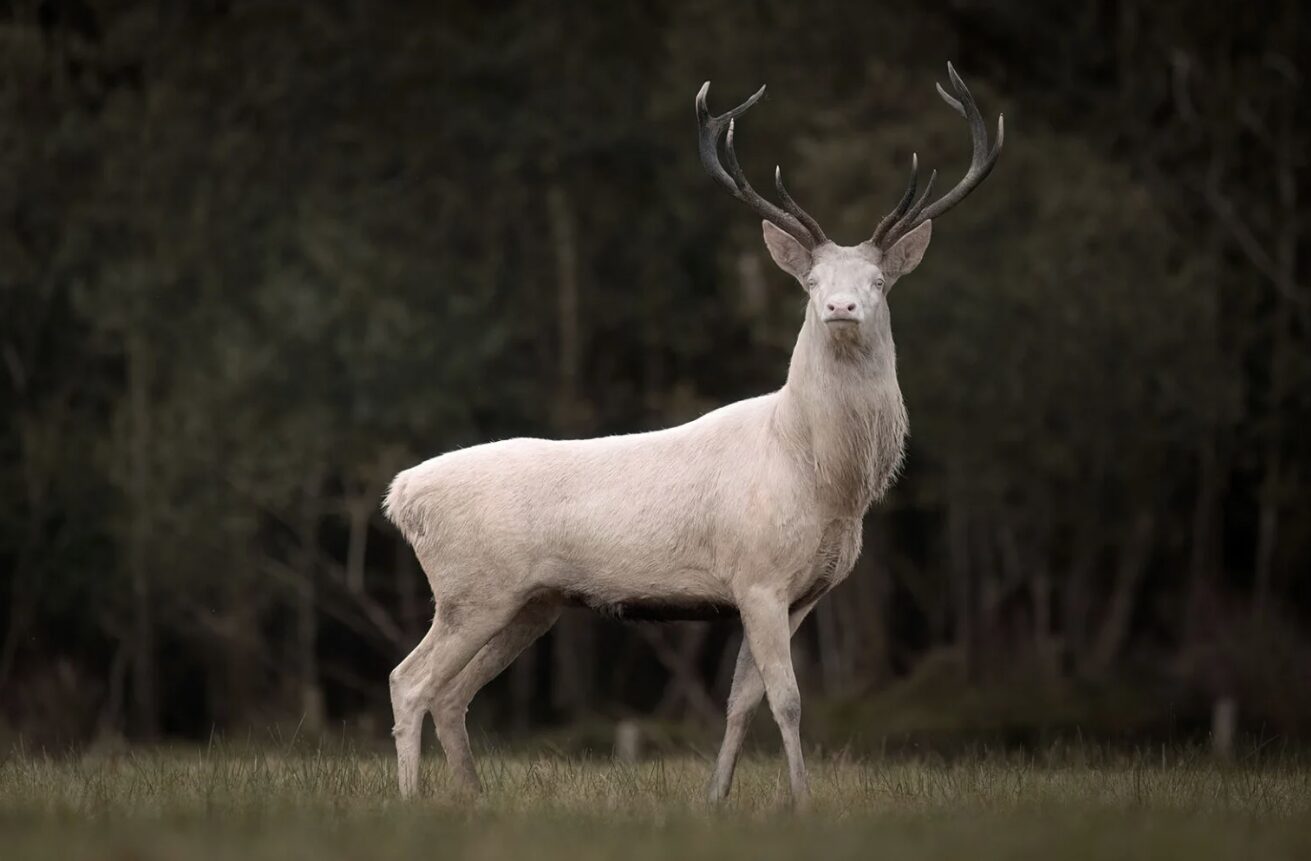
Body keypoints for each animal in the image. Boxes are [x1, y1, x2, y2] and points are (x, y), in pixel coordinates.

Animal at [383, 63, 1002, 806]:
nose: (840, 307)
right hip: (471, 587)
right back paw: (411, 799)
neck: (826, 479)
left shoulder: (801, 592)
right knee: (409, 680)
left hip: (531, 602)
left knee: (452, 694)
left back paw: (473, 798)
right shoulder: (757, 575)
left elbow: (743, 700)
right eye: (810, 281)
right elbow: (787, 698)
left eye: (879, 280)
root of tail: (401, 496)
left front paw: (717, 796)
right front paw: (801, 800)